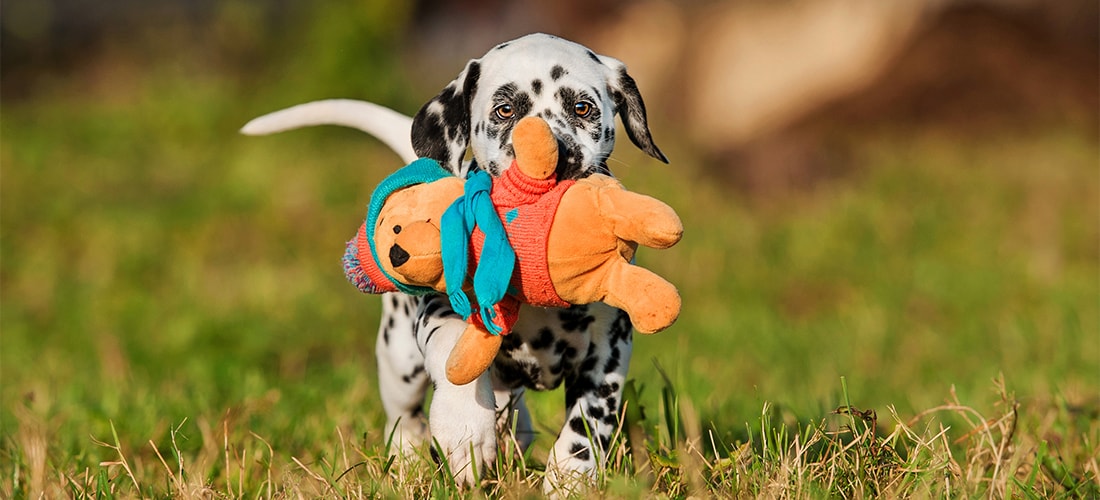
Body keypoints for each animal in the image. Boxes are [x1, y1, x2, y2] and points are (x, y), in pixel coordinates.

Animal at [244, 32, 664, 492]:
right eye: (505, 110)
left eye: (582, 108)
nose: (556, 159)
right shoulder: (443, 310)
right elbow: (452, 356)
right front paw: (465, 431)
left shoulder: (609, 347)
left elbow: (589, 420)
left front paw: (572, 475)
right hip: (398, 360)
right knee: (404, 416)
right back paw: (410, 459)